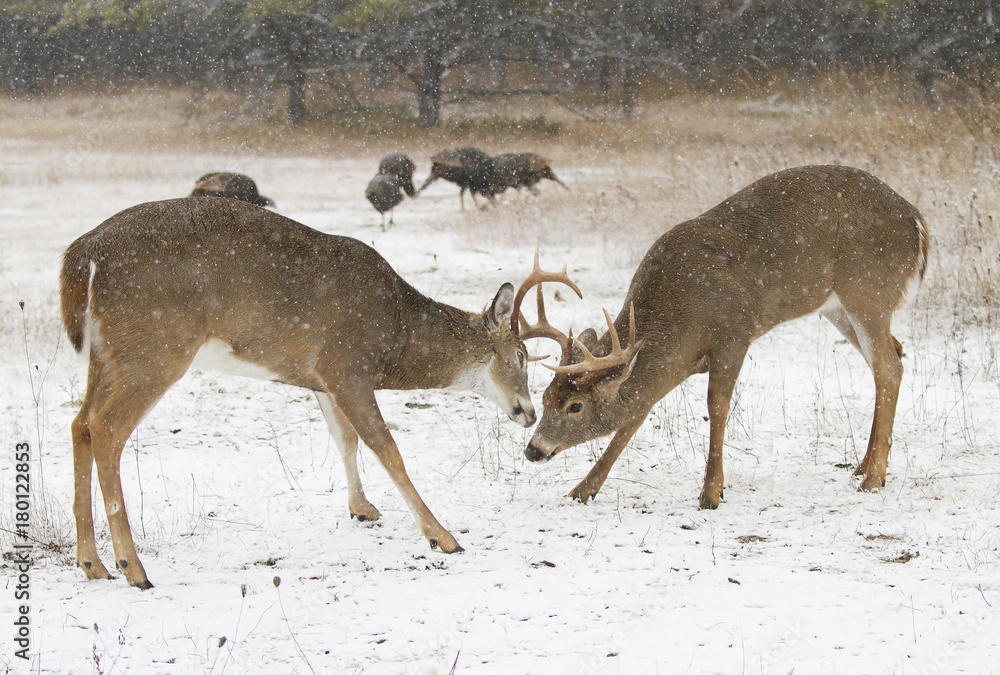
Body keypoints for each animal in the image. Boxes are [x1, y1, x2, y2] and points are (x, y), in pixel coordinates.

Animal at [60, 197, 580, 588]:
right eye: (519, 356)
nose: (527, 412)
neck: (396, 330)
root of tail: (83, 254)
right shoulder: (347, 364)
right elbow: (387, 447)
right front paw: (442, 536)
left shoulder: (322, 379)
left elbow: (345, 439)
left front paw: (363, 509)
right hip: (155, 348)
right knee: (106, 429)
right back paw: (133, 568)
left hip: (107, 356)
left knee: (79, 423)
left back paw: (92, 563)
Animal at [522, 165, 930, 510]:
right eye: (544, 397)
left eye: (575, 406)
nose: (533, 450)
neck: (681, 312)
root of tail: (917, 221)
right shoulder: (677, 364)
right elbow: (636, 415)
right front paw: (582, 489)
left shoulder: (735, 332)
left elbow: (717, 406)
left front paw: (711, 492)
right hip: (838, 308)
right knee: (891, 356)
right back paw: (864, 465)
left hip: (868, 288)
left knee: (889, 366)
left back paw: (873, 478)